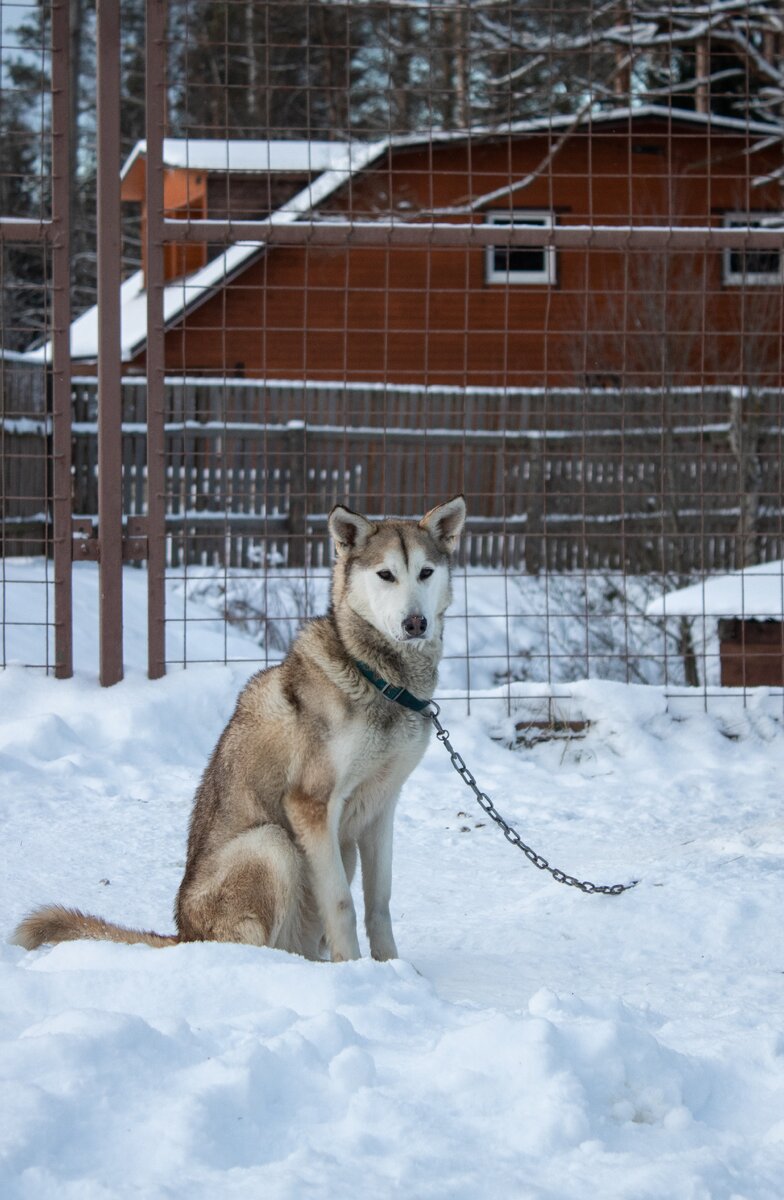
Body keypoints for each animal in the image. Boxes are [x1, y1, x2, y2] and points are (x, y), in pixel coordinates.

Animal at [13, 492, 465, 960]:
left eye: (425, 572)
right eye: (385, 575)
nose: (415, 623)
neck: (379, 679)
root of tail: (184, 933)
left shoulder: (380, 808)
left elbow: (379, 903)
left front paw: (390, 967)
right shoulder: (310, 804)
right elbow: (342, 904)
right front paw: (357, 969)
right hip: (272, 843)